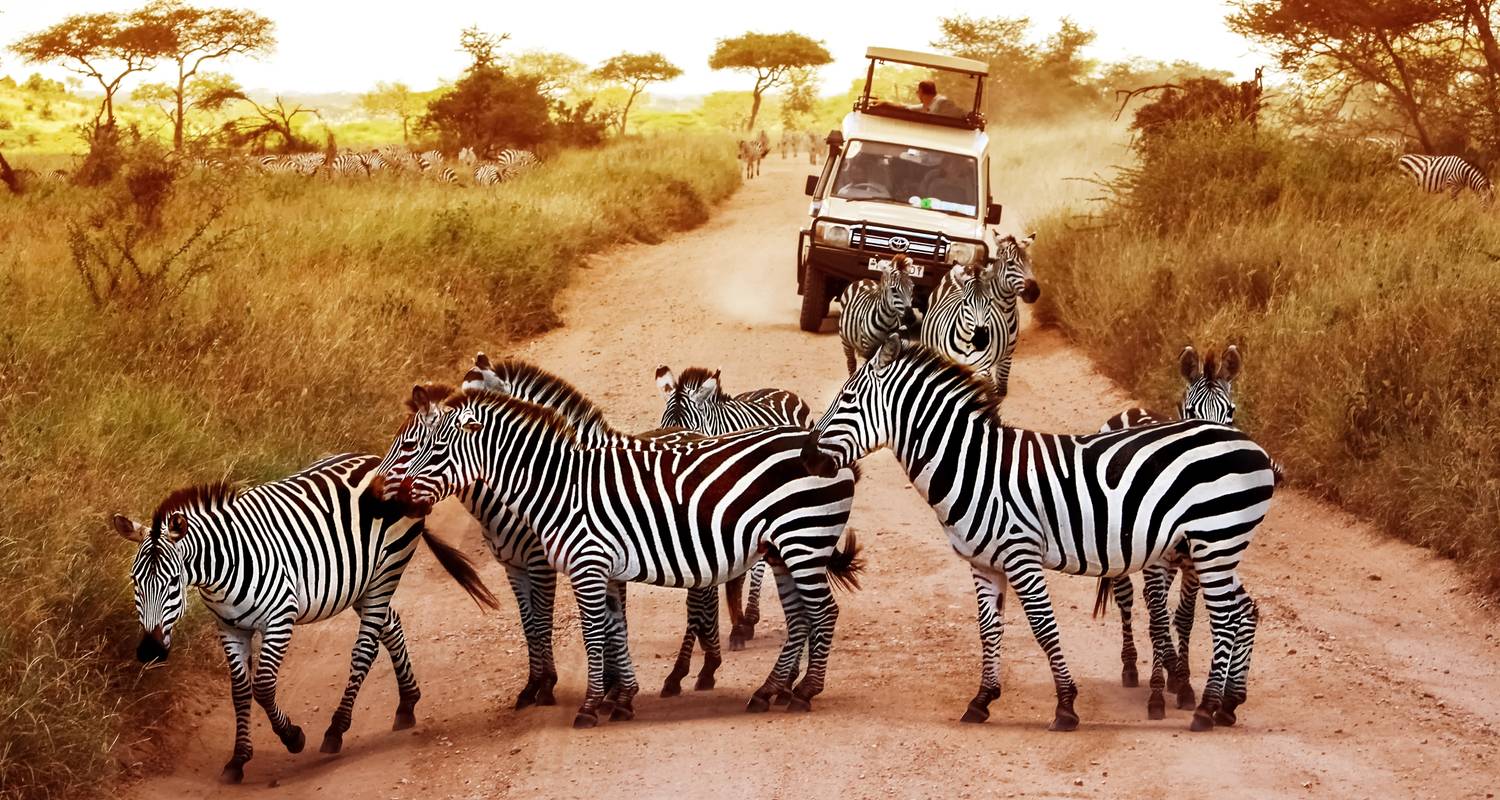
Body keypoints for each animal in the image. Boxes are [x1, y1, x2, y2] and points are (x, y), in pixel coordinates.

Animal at [112, 453, 498, 780]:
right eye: (134, 581)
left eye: (172, 582)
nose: (149, 651)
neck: (221, 570)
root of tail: (376, 459)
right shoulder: (230, 628)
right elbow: (240, 691)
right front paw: (237, 760)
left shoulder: (279, 620)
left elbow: (263, 687)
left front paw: (292, 737)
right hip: (361, 582)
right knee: (391, 625)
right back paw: (406, 703)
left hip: (385, 572)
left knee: (365, 649)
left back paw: (336, 729)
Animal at [804, 334, 1272, 729]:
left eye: (846, 399)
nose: (809, 456)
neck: (974, 468)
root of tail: (1251, 446)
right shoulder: (983, 563)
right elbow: (989, 630)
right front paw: (981, 701)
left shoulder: (1021, 555)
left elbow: (1044, 629)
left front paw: (1065, 706)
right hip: (1218, 547)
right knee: (1245, 610)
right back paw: (1229, 705)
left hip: (1214, 543)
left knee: (1226, 618)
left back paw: (1206, 710)